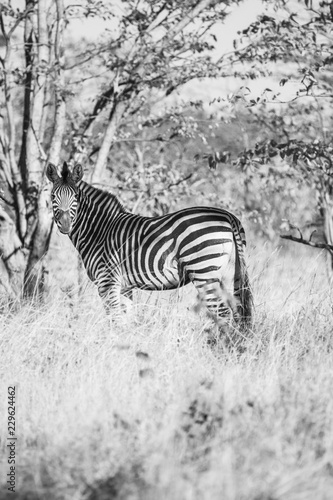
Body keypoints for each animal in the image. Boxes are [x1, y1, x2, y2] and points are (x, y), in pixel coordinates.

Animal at [46, 161, 252, 328]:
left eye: (76, 197)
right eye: (53, 196)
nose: (65, 225)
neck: (99, 230)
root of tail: (228, 216)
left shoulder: (107, 280)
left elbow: (114, 320)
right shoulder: (124, 286)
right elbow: (125, 320)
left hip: (204, 271)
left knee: (223, 313)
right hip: (229, 274)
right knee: (236, 310)